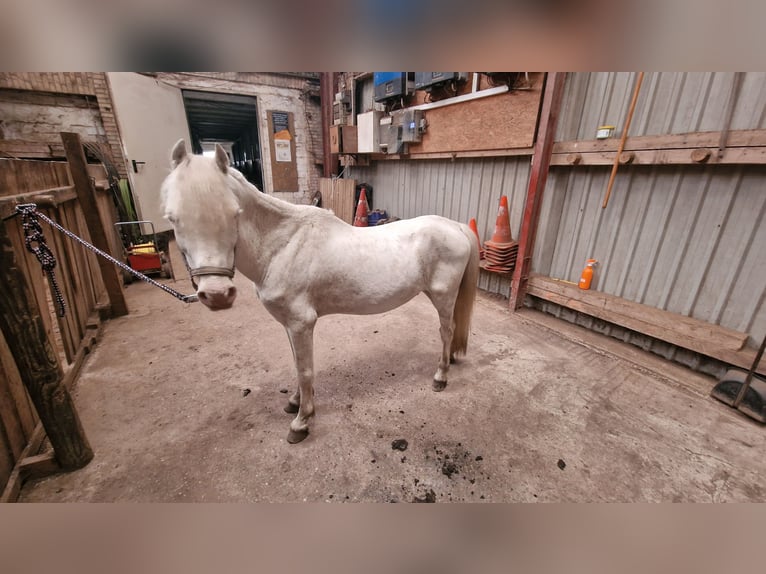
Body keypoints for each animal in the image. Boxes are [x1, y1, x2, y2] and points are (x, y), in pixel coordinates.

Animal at [161, 141, 476, 446]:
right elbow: (298, 366)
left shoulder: (302, 323)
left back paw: (440, 377)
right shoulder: (289, 324)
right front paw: (294, 402)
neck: (283, 246)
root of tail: (457, 227)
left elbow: (305, 370)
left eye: (234, 214)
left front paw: (301, 422)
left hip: (443, 296)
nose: (217, 294)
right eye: (173, 219)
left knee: (446, 331)